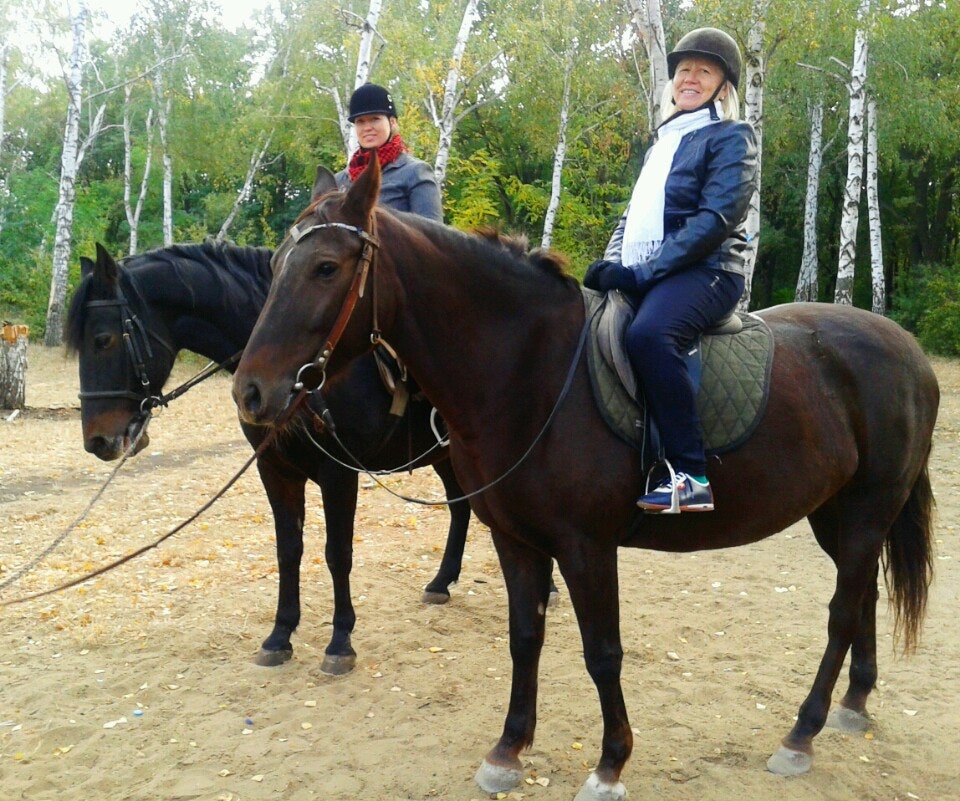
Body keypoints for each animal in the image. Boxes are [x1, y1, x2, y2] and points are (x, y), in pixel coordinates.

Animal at [65, 239, 478, 675]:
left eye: (103, 339)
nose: (97, 440)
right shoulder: (274, 469)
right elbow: (288, 550)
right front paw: (280, 635)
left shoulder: (338, 473)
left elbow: (338, 554)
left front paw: (340, 642)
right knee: (460, 506)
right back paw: (441, 582)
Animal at [232, 158, 938, 800]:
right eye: (275, 265)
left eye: (326, 268)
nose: (251, 392)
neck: (530, 371)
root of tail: (907, 347)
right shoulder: (516, 540)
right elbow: (525, 637)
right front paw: (508, 751)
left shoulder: (586, 546)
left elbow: (602, 651)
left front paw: (609, 765)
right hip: (836, 515)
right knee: (861, 599)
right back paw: (853, 704)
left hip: (868, 509)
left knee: (843, 610)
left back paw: (802, 733)